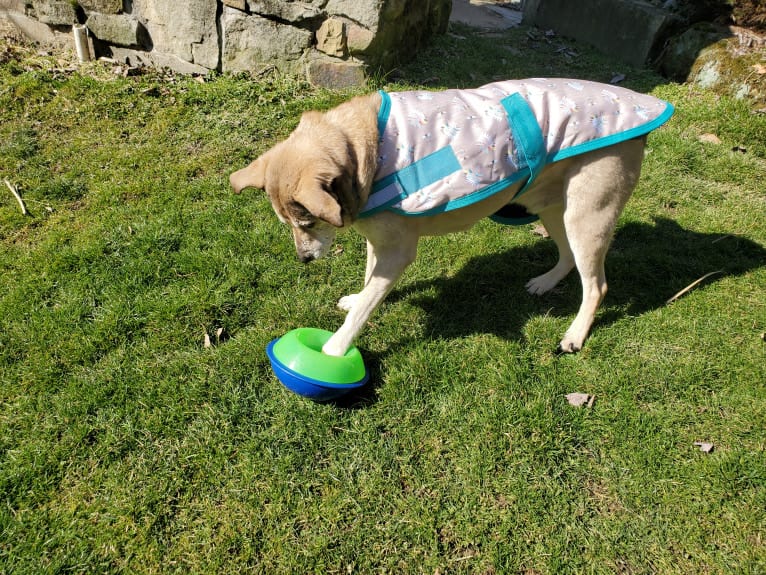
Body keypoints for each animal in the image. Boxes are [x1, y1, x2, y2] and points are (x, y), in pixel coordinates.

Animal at [231, 76, 676, 356]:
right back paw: (546, 282)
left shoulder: (398, 253)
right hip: (552, 209)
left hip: (587, 217)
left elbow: (364, 309)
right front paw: (357, 296)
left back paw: (574, 335)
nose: (303, 259)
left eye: (307, 222)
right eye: (289, 224)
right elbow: (368, 283)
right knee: (568, 258)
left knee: (596, 284)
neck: (360, 149)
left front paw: (335, 348)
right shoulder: (379, 243)